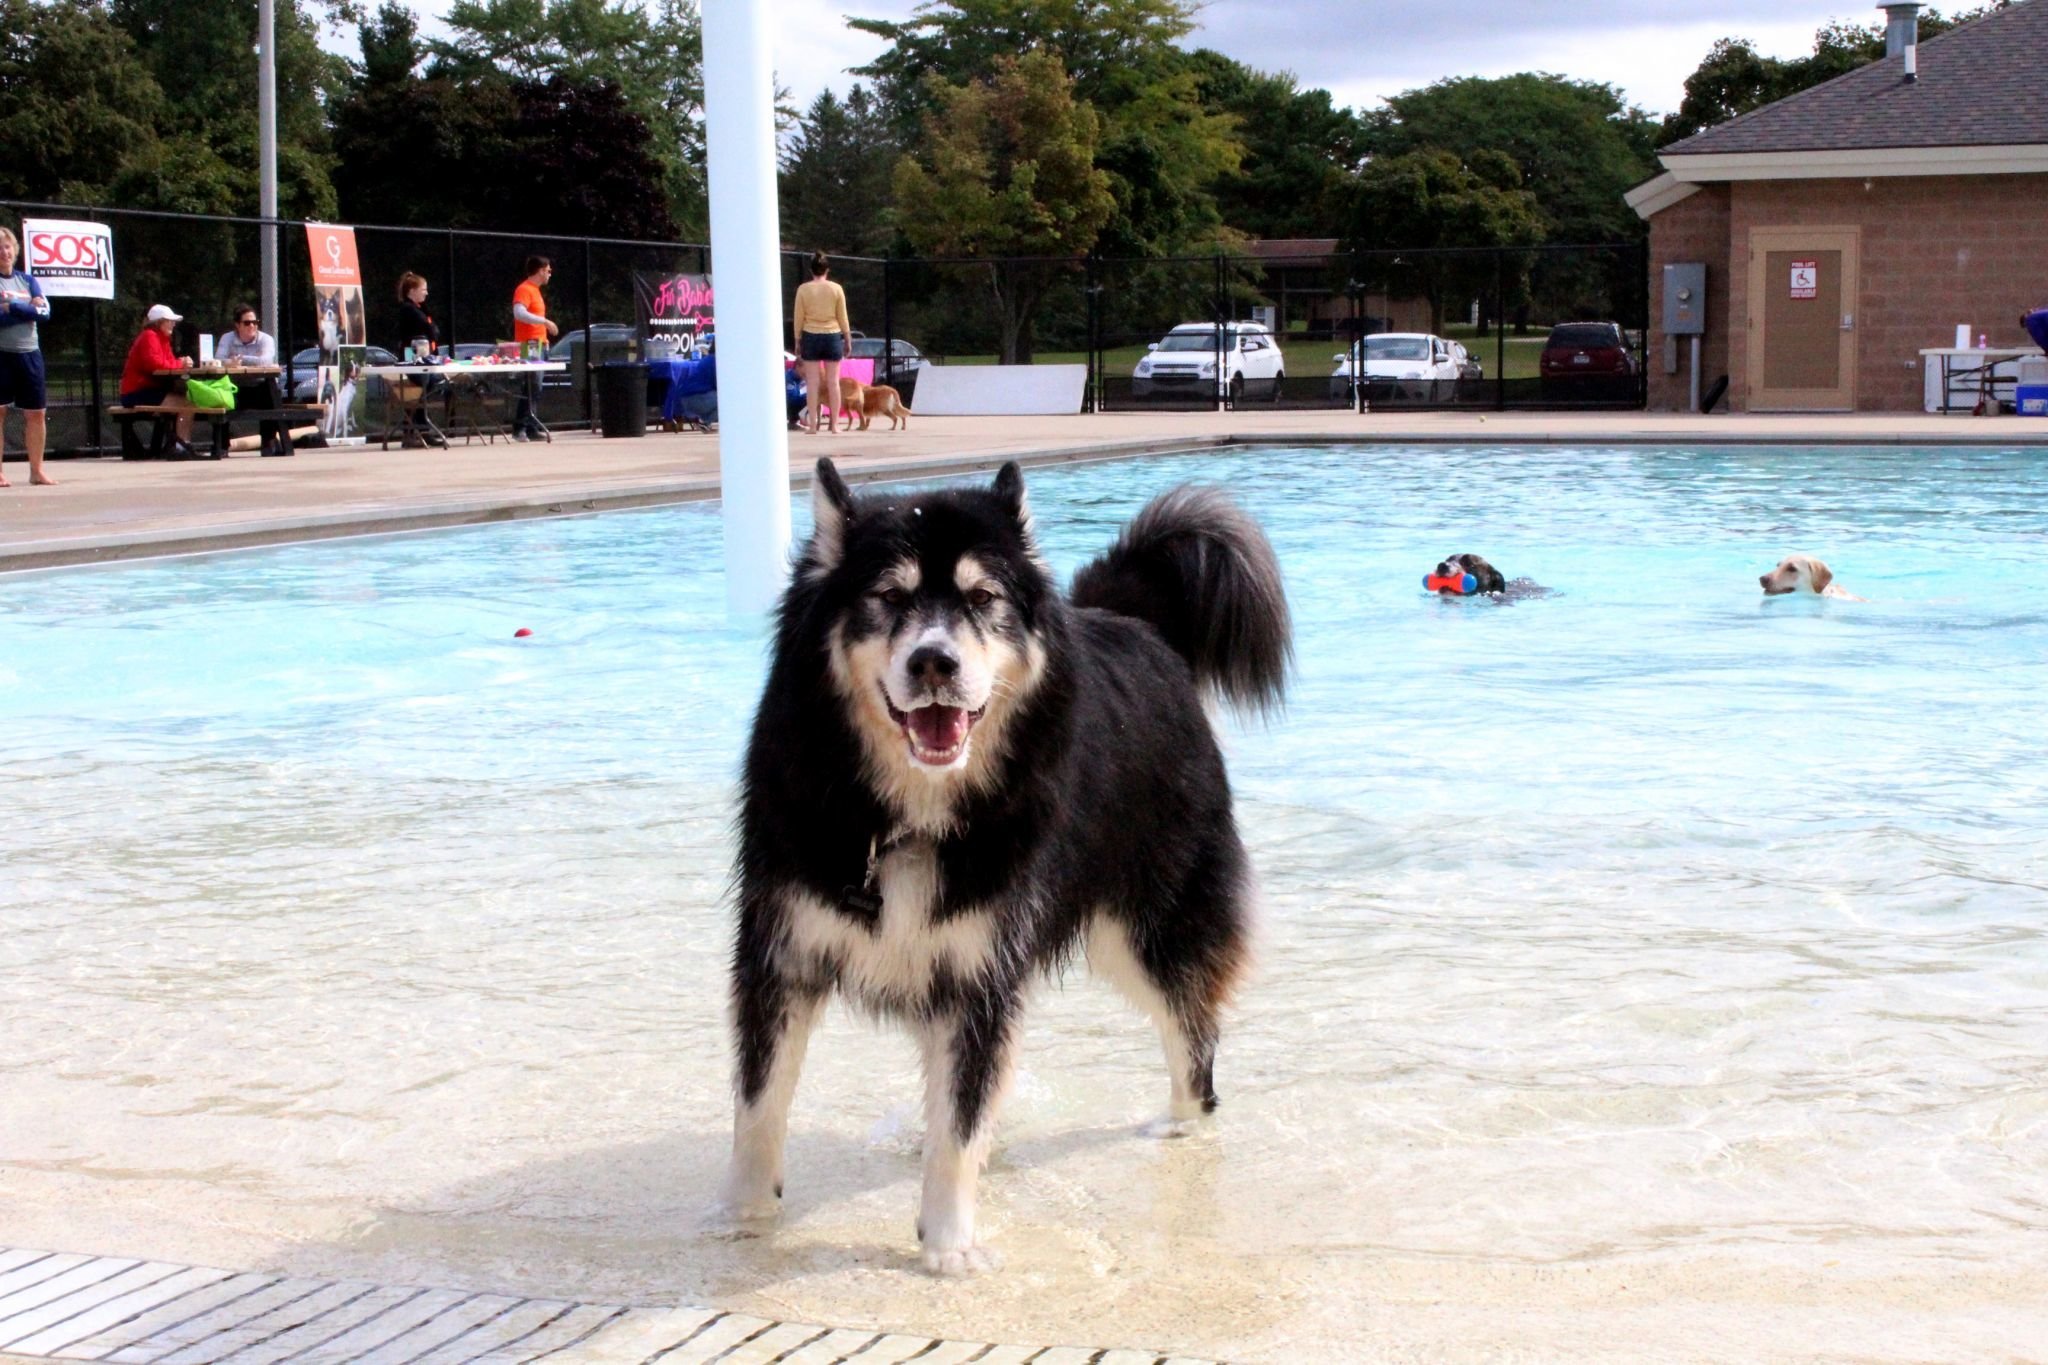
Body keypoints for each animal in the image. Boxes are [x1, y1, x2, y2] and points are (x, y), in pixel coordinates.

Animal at [729, 458, 1286, 1268]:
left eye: (982, 598)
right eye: (888, 596)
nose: (934, 660)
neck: (911, 816)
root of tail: (1133, 626)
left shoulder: (980, 972)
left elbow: (958, 1129)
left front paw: (949, 1246)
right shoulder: (781, 952)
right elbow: (758, 1104)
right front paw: (741, 1220)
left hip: (1149, 930)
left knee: (1195, 1040)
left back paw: (1184, 1127)